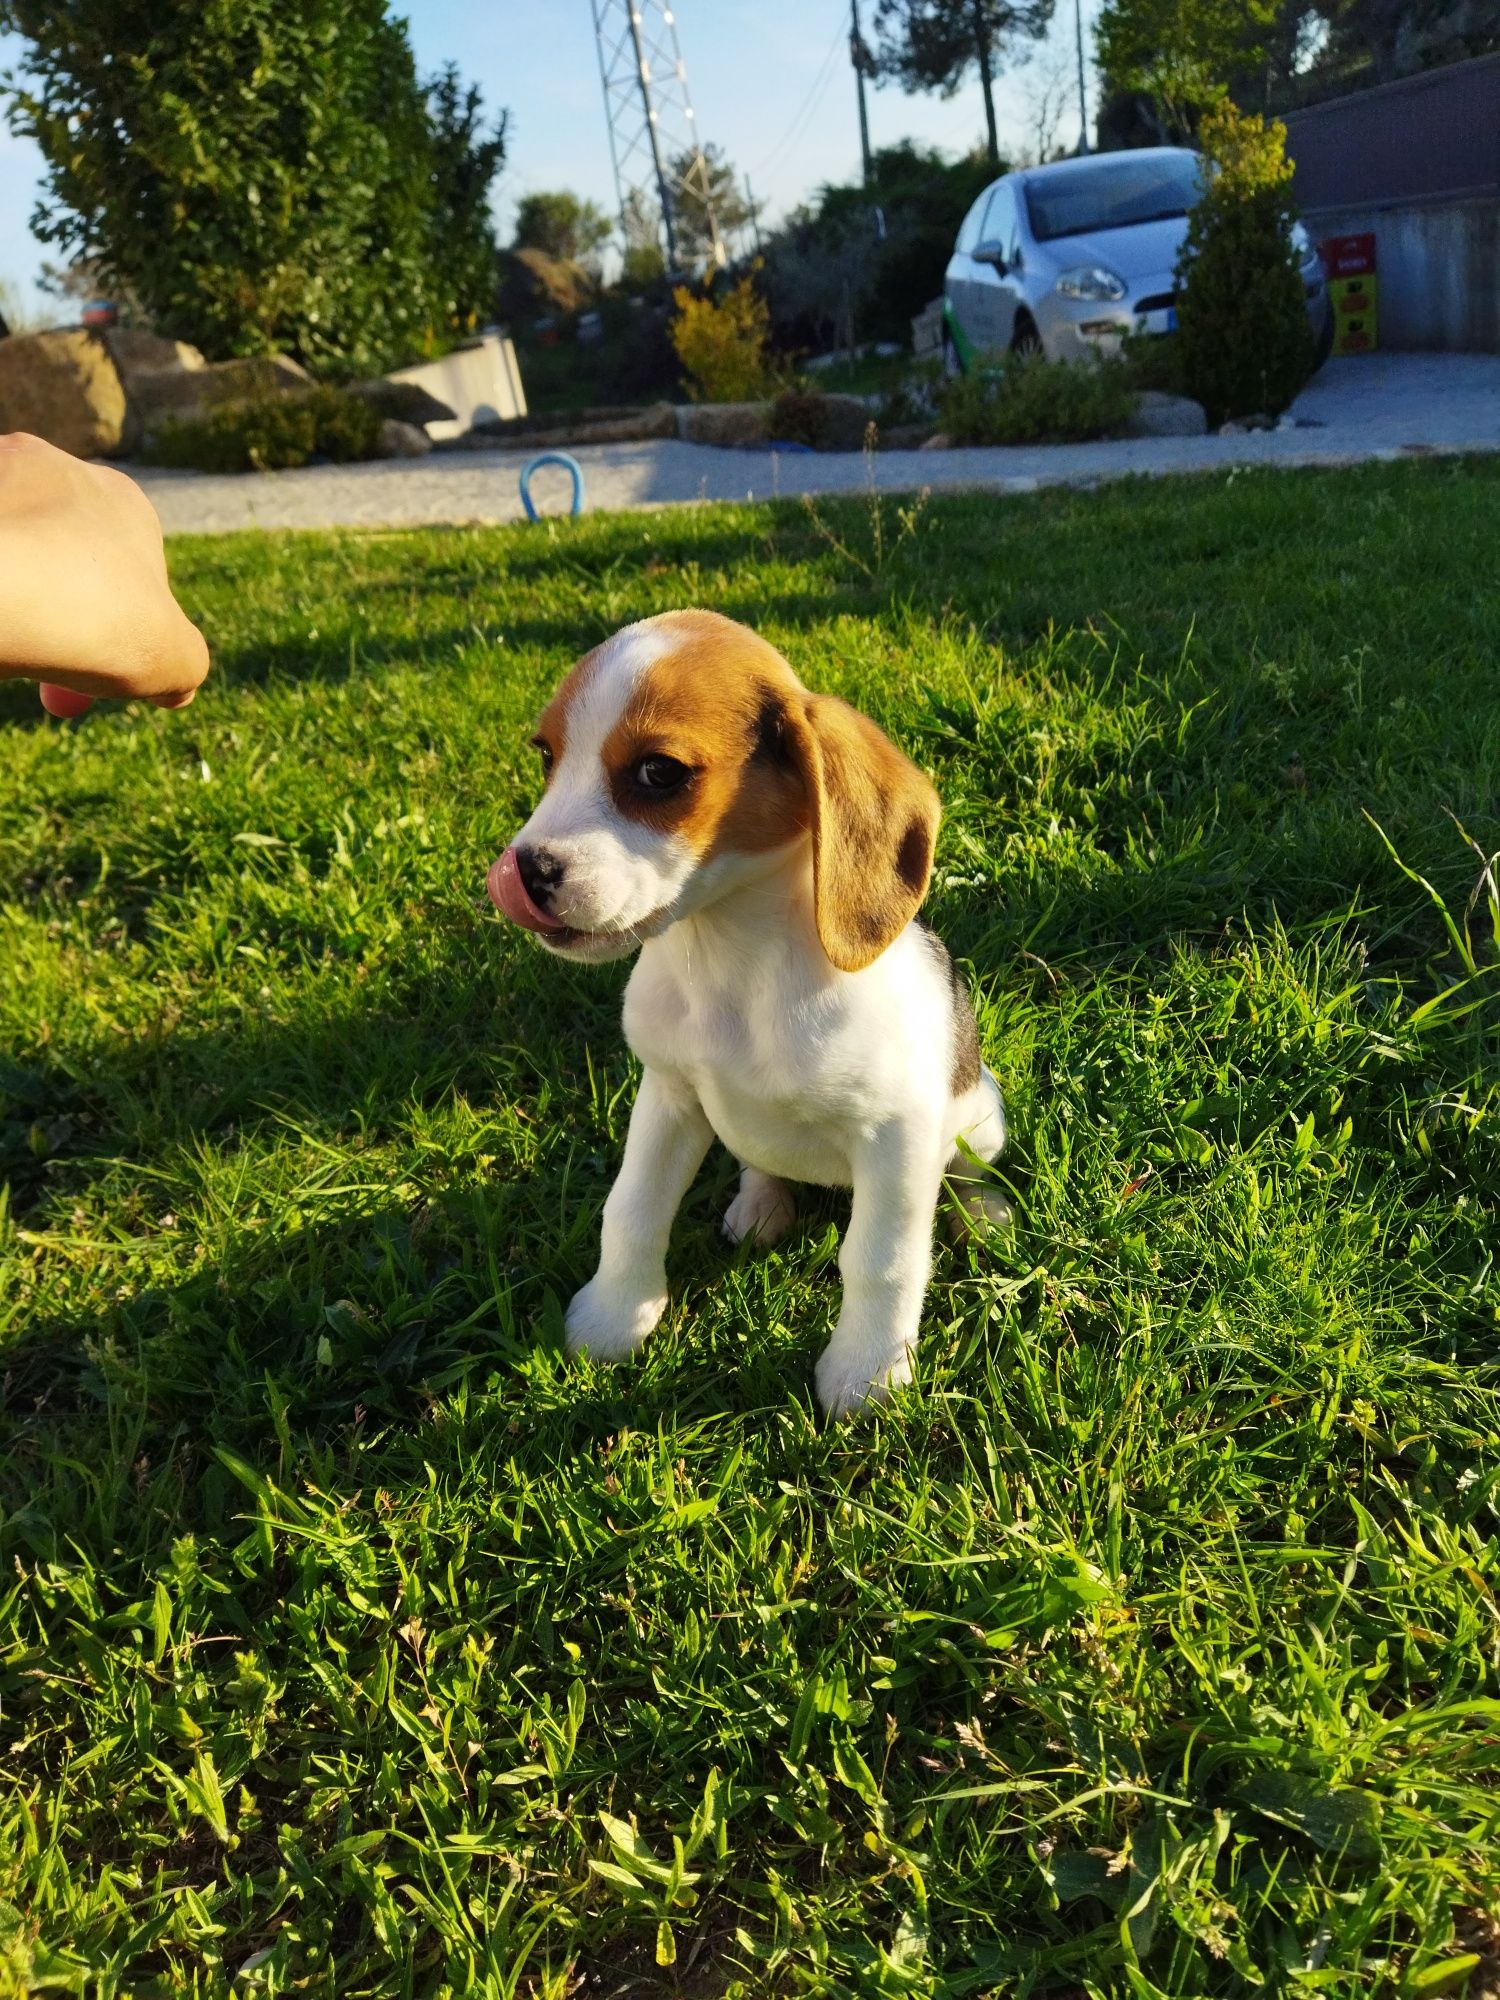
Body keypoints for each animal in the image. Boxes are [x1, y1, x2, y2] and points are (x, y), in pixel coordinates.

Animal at [494, 616, 1012, 1416]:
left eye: (659, 772)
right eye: (547, 756)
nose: (524, 871)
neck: (729, 961)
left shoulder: (895, 1137)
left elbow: (882, 1260)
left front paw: (866, 1374)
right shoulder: (668, 1096)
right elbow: (631, 1210)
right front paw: (612, 1317)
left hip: (980, 1113)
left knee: (965, 1168)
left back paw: (982, 1211)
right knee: (757, 1161)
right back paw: (762, 1203)